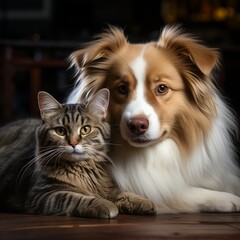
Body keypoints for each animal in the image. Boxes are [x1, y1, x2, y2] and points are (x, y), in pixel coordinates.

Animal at [0, 89, 156, 218]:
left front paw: (143, 201)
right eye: (61, 131)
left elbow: (121, 193)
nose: (73, 143)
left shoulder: (106, 186)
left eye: (85, 129)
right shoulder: (41, 194)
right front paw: (104, 204)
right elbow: (74, 198)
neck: (82, 171)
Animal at [67, 25, 240, 213]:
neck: (151, 154)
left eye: (162, 88)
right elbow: (184, 191)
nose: (137, 125)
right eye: (122, 89)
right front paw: (228, 199)